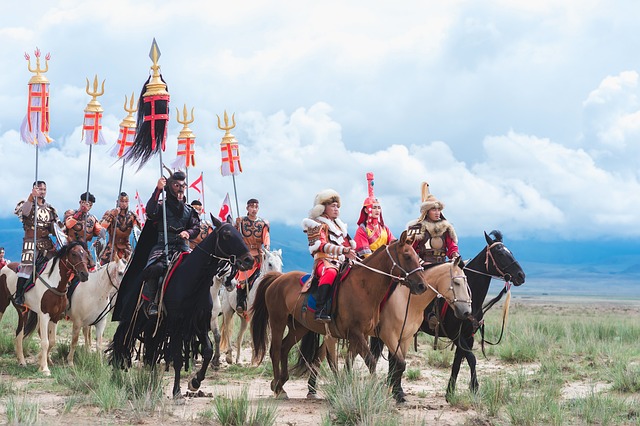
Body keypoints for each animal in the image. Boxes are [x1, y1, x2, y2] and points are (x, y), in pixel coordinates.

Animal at [0, 243, 91, 376]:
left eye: (85, 254)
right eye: (74, 254)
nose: (85, 274)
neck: (54, 283)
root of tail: (5, 267)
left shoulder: (55, 317)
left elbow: (52, 341)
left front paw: (41, 364)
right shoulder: (44, 315)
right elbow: (45, 341)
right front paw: (45, 369)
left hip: (23, 311)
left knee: (19, 333)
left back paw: (21, 361)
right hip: (2, 304)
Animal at [107, 216, 252, 400]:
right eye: (227, 234)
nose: (249, 260)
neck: (192, 280)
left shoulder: (199, 323)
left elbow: (207, 350)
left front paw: (195, 382)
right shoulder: (177, 324)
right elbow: (177, 357)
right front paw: (177, 392)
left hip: (154, 325)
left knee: (151, 350)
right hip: (134, 319)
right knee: (121, 340)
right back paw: (115, 374)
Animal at [252, 231, 428, 398]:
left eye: (417, 257)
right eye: (407, 256)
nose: (422, 286)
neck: (363, 287)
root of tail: (278, 279)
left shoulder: (360, 334)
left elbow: (350, 362)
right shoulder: (357, 333)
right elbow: (370, 361)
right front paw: (375, 390)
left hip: (299, 327)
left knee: (284, 348)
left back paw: (281, 384)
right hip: (277, 320)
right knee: (275, 349)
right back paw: (278, 387)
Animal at [300, 256, 470, 402]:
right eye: (456, 283)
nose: (466, 311)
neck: (407, 300)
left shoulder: (405, 337)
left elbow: (398, 364)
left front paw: (397, 392)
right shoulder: (389, 335)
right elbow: (397, 363)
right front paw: (395, 393)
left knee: (321, 355)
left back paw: (313, 389)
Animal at [370, 230, 524, 400]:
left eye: (510, 252)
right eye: (499, 252)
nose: (521, 276)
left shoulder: (468, 336)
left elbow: (458, 362)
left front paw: (450, 392)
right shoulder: (455, 334)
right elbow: (472, 359)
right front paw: (474, 389)